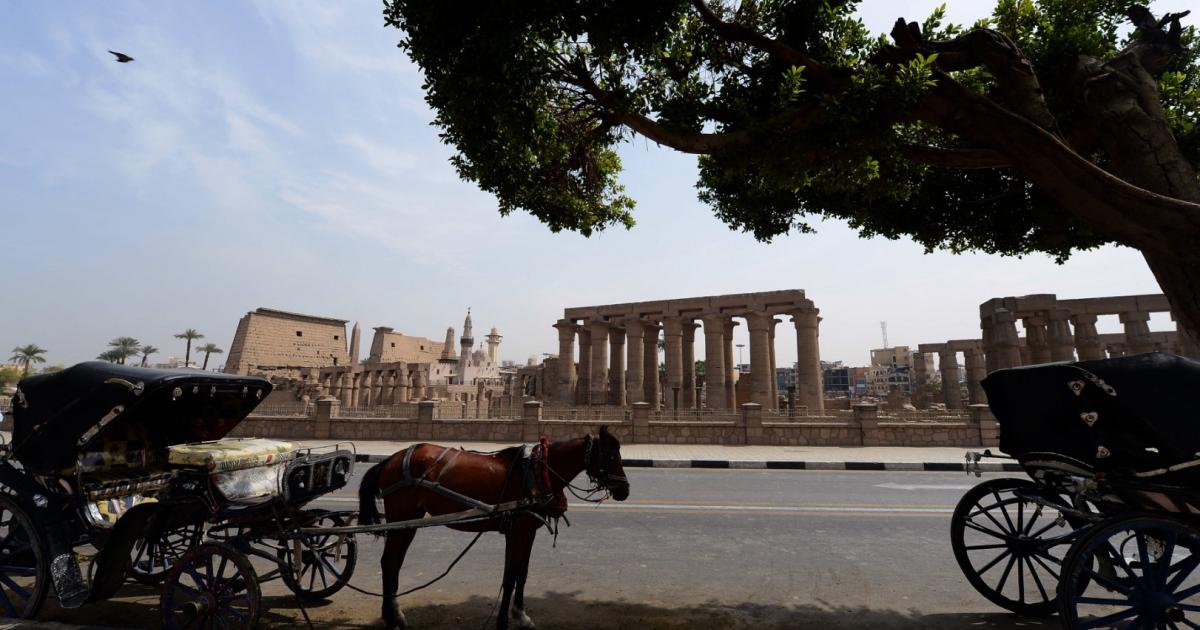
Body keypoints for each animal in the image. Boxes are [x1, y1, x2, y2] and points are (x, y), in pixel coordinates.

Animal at [357, 426, 630, 630]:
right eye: (610, 457)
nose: (625, 491)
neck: (538, 472)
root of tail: (390, 460)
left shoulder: (526, 531)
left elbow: (522, 573)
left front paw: (521, 615)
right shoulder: (518, 530)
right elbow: (509, 576)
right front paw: (502, 621)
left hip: (410, 520)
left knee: (393, 562)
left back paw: (394, 614)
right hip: (401, 515)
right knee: (389, 561)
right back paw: (391, 617)